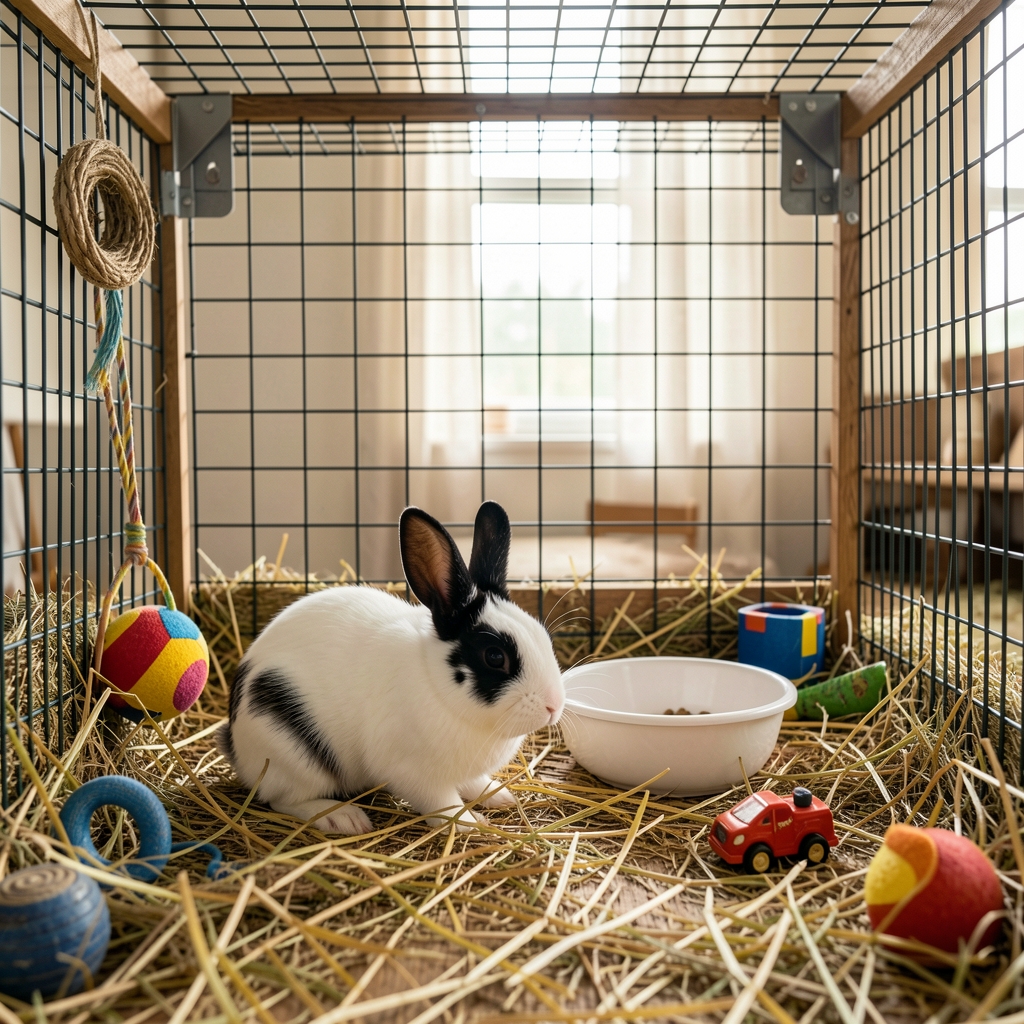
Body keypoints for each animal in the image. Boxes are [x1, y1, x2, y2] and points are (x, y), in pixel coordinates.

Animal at [218, 501, 564, 834]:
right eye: (494, 657)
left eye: (542, 635)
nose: (554, 706)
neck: (438, 688)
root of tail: (235, 746)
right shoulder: (414, 772)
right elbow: (443, 802)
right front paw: (469, 823)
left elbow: (471, 783)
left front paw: (498, 795)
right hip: (292, 758)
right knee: (283, 799)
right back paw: (344, 819)